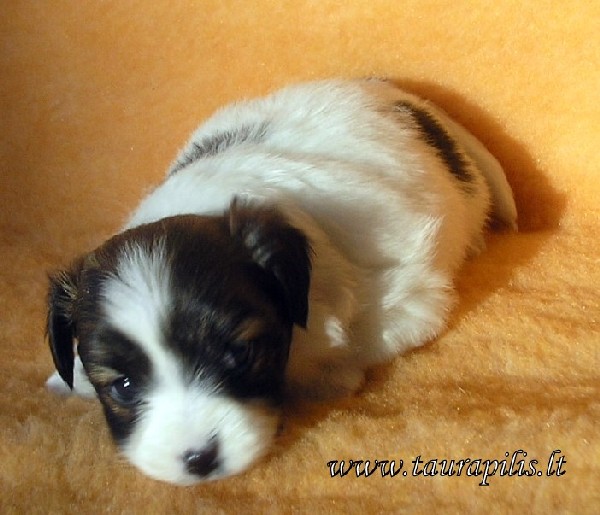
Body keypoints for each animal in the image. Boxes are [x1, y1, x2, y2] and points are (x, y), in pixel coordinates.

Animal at [46, 78, 517, 485]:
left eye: (239, 354)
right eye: (123, 387)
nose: (199, 460)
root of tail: (407, 98)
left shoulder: (407, 298)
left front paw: (330, 376)